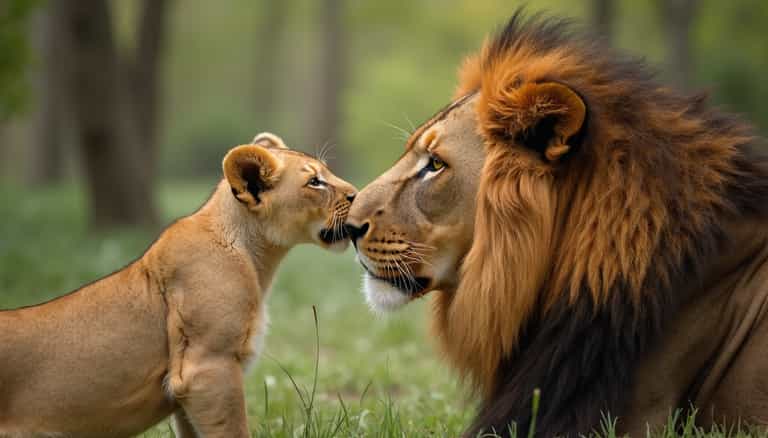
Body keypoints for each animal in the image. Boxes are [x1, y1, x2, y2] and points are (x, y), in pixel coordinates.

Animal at [0, 133, 356, 438]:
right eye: (315, 181)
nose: (356, 194)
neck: (257, 259)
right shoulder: (208, 367)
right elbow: (233, 430)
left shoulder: (188, 391)